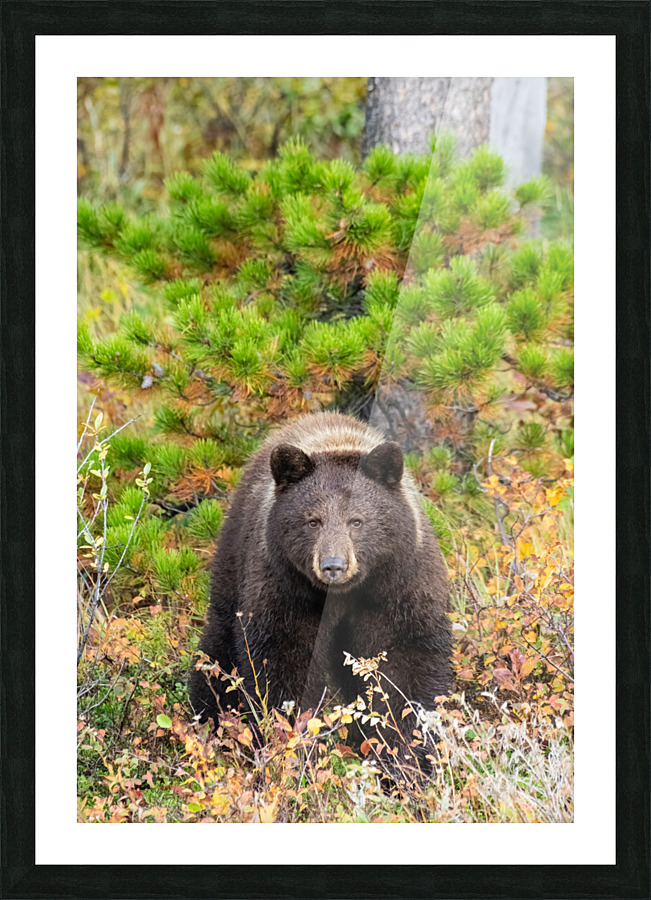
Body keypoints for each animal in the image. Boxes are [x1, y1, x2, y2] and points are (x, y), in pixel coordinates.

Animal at [189, 411, 452, 746]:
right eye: (313, 521)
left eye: (357, 520)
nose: (333, 565)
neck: (345, 594)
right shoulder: (286, 589)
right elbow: (282, 662)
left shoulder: (399, 586)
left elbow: (405, 665)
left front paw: (406, 747)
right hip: (234, 556)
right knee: (218, 643)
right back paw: (209, 715)